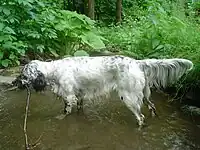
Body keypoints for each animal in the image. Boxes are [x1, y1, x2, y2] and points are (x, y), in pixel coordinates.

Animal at [12, 55, 194, 127]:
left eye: (23, 75)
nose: (14, 82)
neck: (54, 71)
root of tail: (136, 62)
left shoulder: (69, 97)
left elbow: (65, 111)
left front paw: (59, 118)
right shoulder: (79, 96)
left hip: (129, 97)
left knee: (140, 117)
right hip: (144, 95)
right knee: (152, 106)